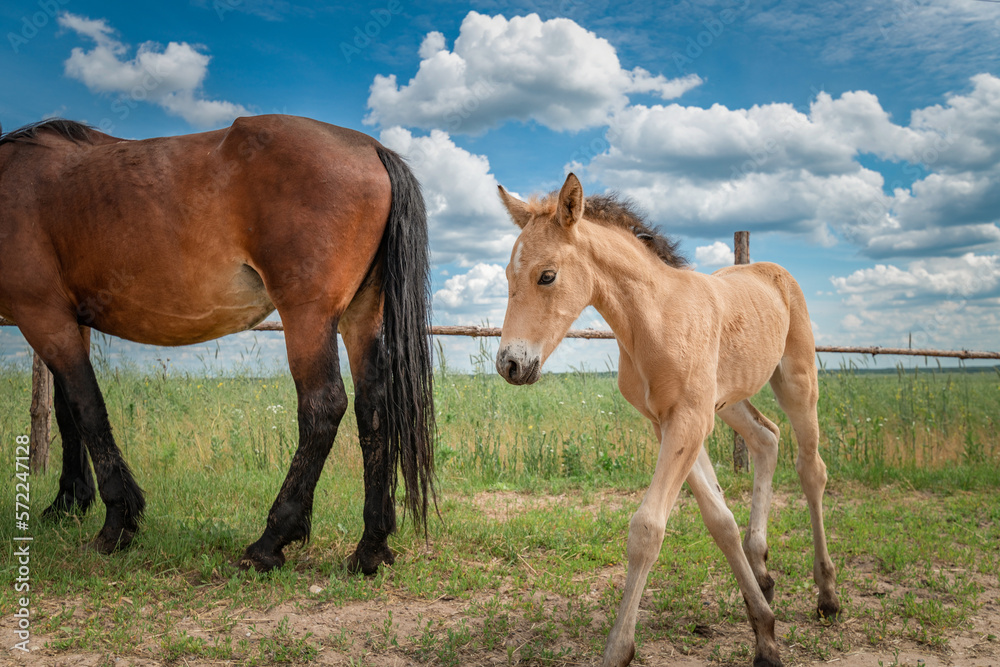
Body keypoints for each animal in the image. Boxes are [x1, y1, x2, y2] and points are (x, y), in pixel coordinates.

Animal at [1, 115, 436, 576]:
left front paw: (116, 522)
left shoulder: (43, 316)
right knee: (373, 411)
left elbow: (86, 409)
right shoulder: (69, 321)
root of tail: (370, 148)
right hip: (360, 316)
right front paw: (66, 502)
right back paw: (371, 547)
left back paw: (270, 541)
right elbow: (66, 411)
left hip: (309, 316)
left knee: (323, 408)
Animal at [496, 174, 840, 667]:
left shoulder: (689, 421)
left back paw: (827, 595)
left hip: (796, 380)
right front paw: (764, 630)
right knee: (766, 438)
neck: (653, 320)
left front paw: (618, 649)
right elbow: (719, 520)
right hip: (727, 400)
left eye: (547, 275)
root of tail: (771, 269)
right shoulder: (669, 422)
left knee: (811, 469)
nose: (510, 364)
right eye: (508, 276)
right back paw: (762, 570)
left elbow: (647, 529)